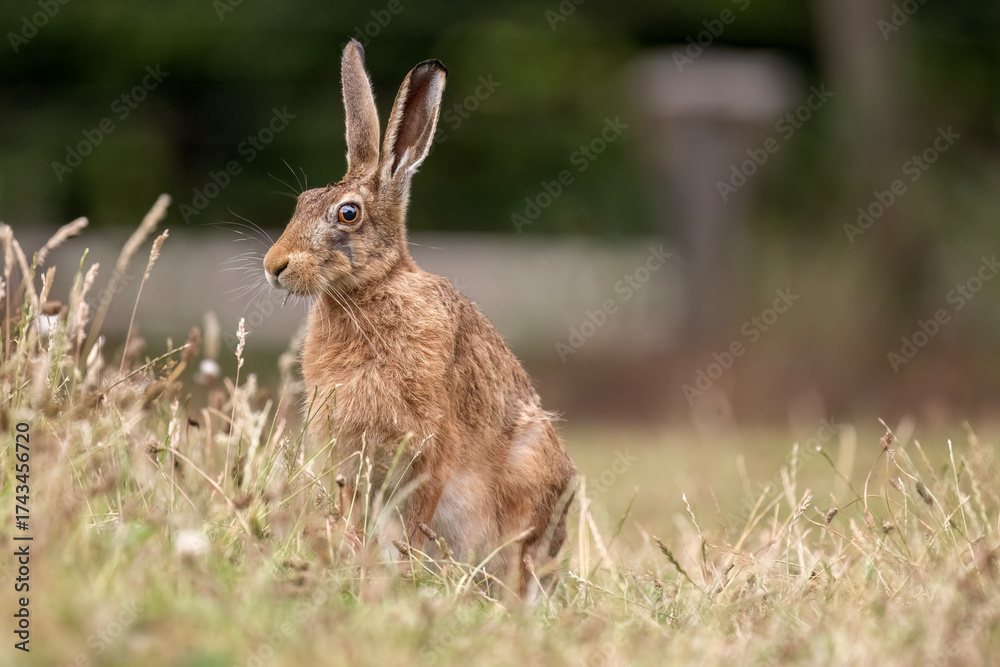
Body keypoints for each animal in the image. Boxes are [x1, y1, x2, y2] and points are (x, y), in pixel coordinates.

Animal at [262, 39, 576, 599]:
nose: (274, 266)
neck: (371, 290)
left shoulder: (432, 450)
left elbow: (417, 522)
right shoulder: (351, 461)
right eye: (300, 202)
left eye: (348, 214)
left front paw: (403, 578)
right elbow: (354, 518)